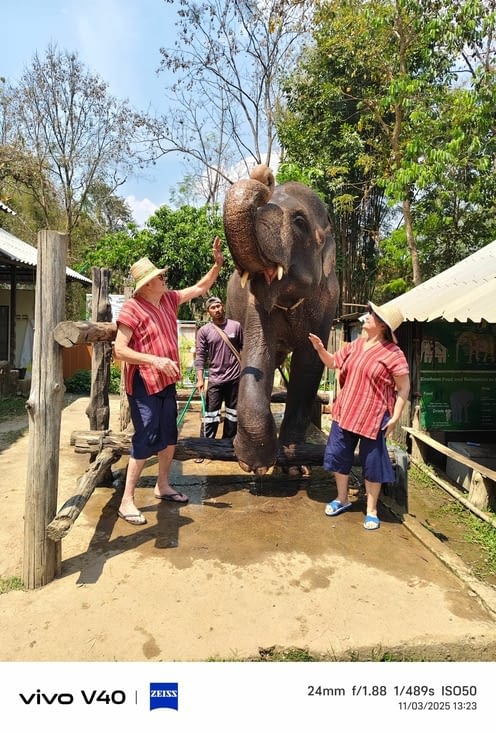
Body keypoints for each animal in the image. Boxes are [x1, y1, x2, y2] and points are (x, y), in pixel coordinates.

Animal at [223, 164, 340, 474]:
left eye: (299, 221)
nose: (263, 173)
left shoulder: (329, 302)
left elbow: (309, 364)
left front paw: (293, 465)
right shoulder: (254, 305)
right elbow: (257, 353)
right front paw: (253, 465)